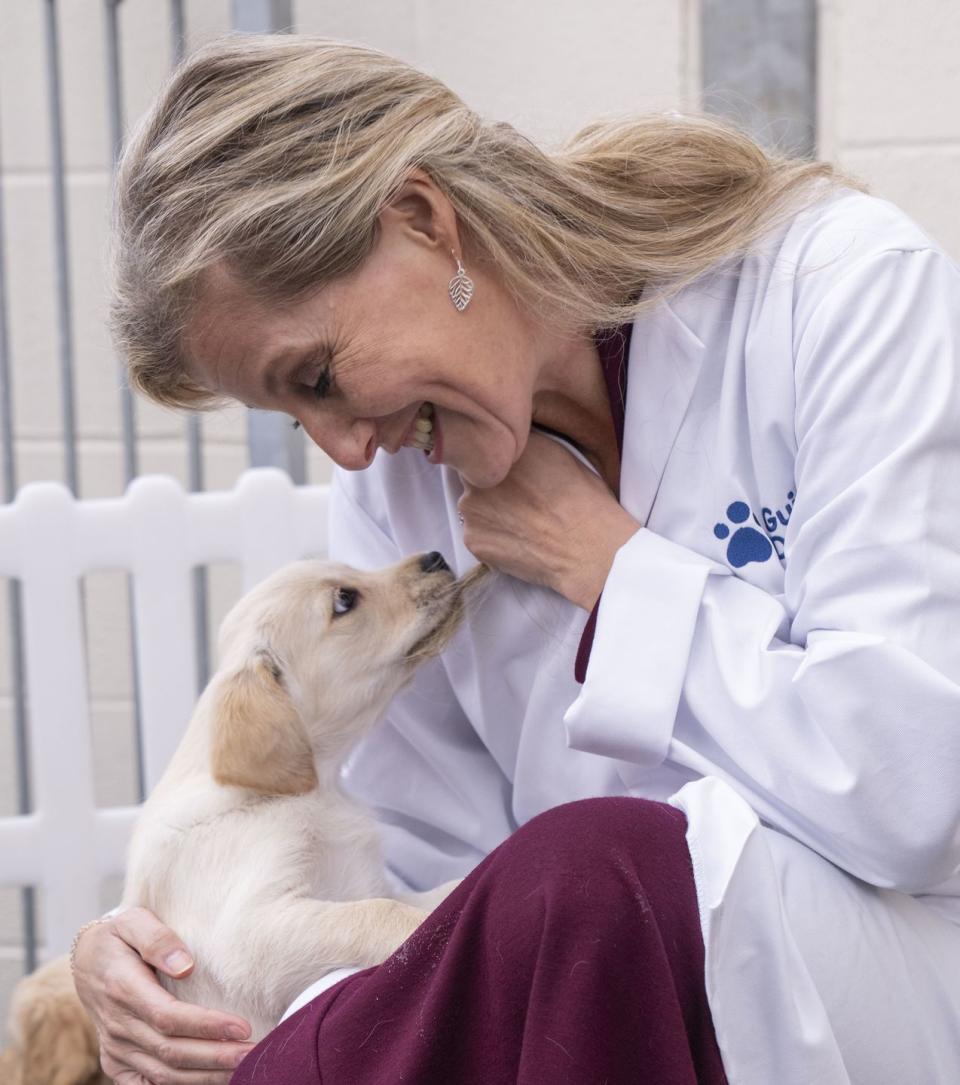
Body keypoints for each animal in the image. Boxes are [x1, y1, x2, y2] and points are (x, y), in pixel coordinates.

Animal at [0, 555, 485, 1080]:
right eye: (344, 600)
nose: (435, 557)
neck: (310, 792)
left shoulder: (363, 882)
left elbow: (435, 892)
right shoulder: (250, 931)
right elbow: (379, 913)